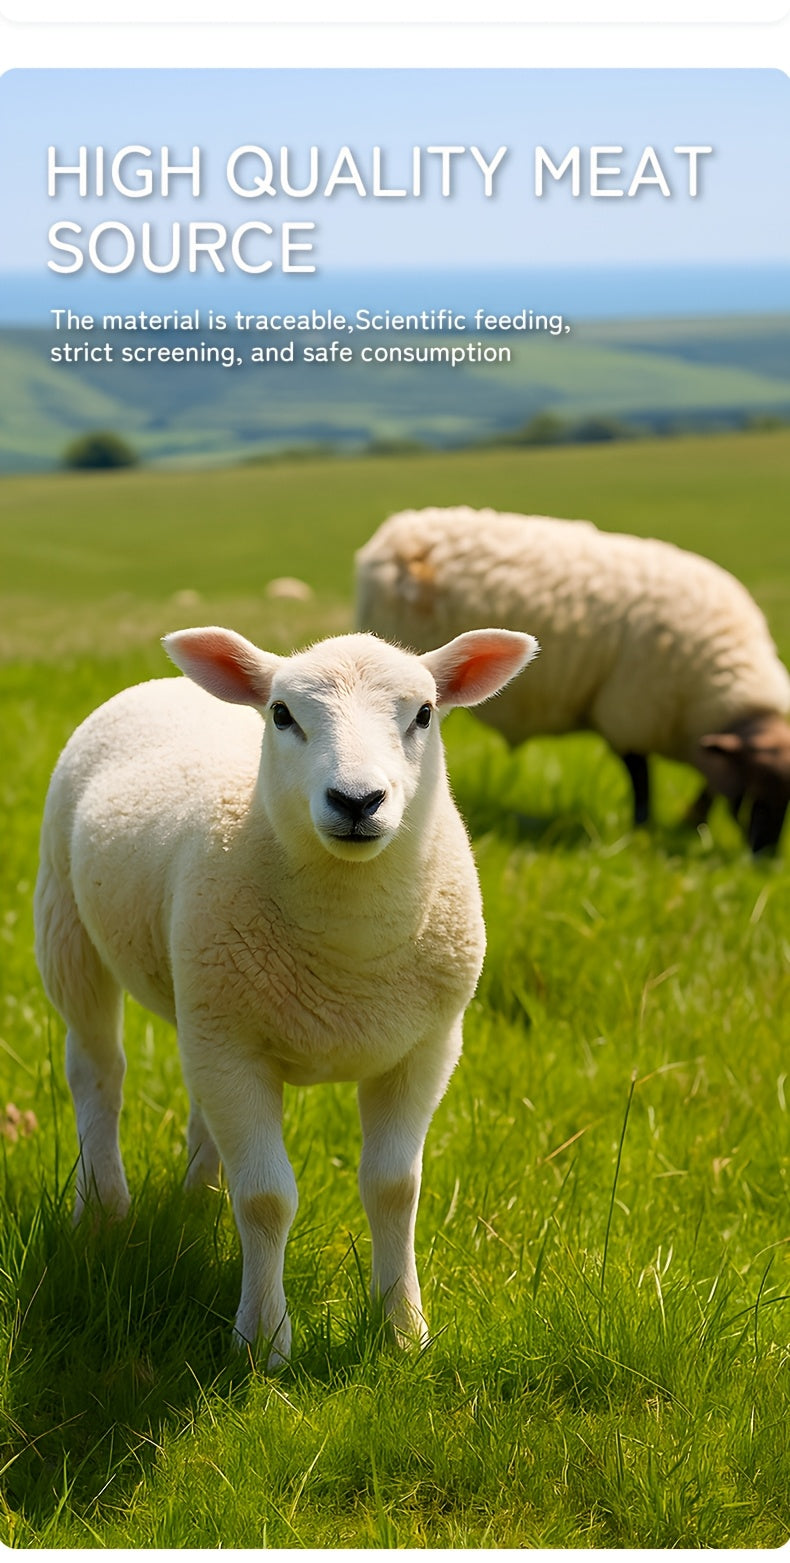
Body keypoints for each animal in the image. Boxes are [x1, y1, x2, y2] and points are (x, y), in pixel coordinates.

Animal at [33, 625, 536, 1366]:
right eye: (281, 714)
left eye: (424, 713)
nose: (357, 801)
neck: (348, 947)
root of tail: (166, 683)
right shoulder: (234, 1048)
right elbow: (267, 1198)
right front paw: (262, 1343)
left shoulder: (425, 1049)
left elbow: (394, 1188)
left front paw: (402, 1331)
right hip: (66, 923)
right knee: (97, 1072)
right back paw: (103, 1211)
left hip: (203, 998)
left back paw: (199, 1195)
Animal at [355, 507, 790, 853]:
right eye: (754, 794)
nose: (763, 857)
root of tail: (395, 531)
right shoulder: (630, 713)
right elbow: (641, 778)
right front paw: (642, 831)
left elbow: (706, 786)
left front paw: (690, 825)